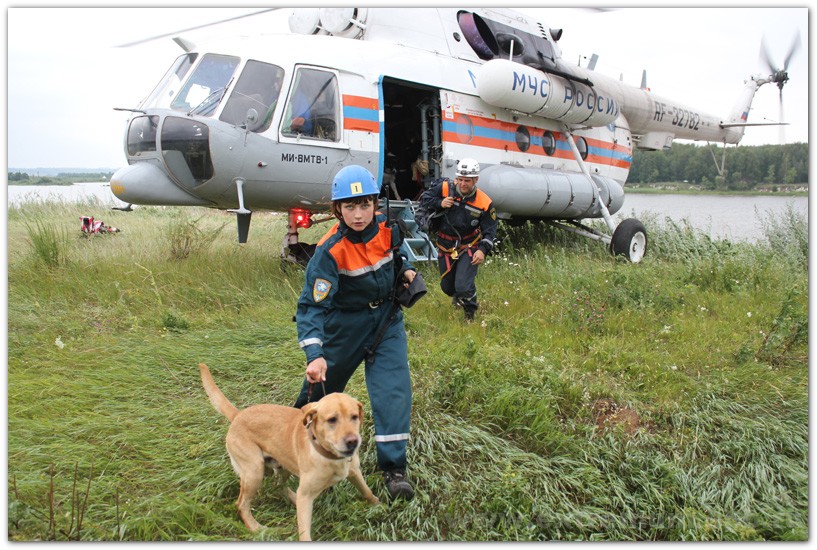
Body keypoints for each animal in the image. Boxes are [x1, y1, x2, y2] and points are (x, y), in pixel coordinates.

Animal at [198, 364, 380, 540]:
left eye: (354, 416)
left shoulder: (354, 473)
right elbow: (304, 533)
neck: (329, 456)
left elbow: (367, 492)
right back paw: (255, 527)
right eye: (332, 420)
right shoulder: (306, 495)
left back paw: (292, 498)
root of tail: (238, 415)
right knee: (242, 504)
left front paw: (379, 506)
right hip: (254, 472)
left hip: (282, 467)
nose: (353, 442)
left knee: (279, 486)